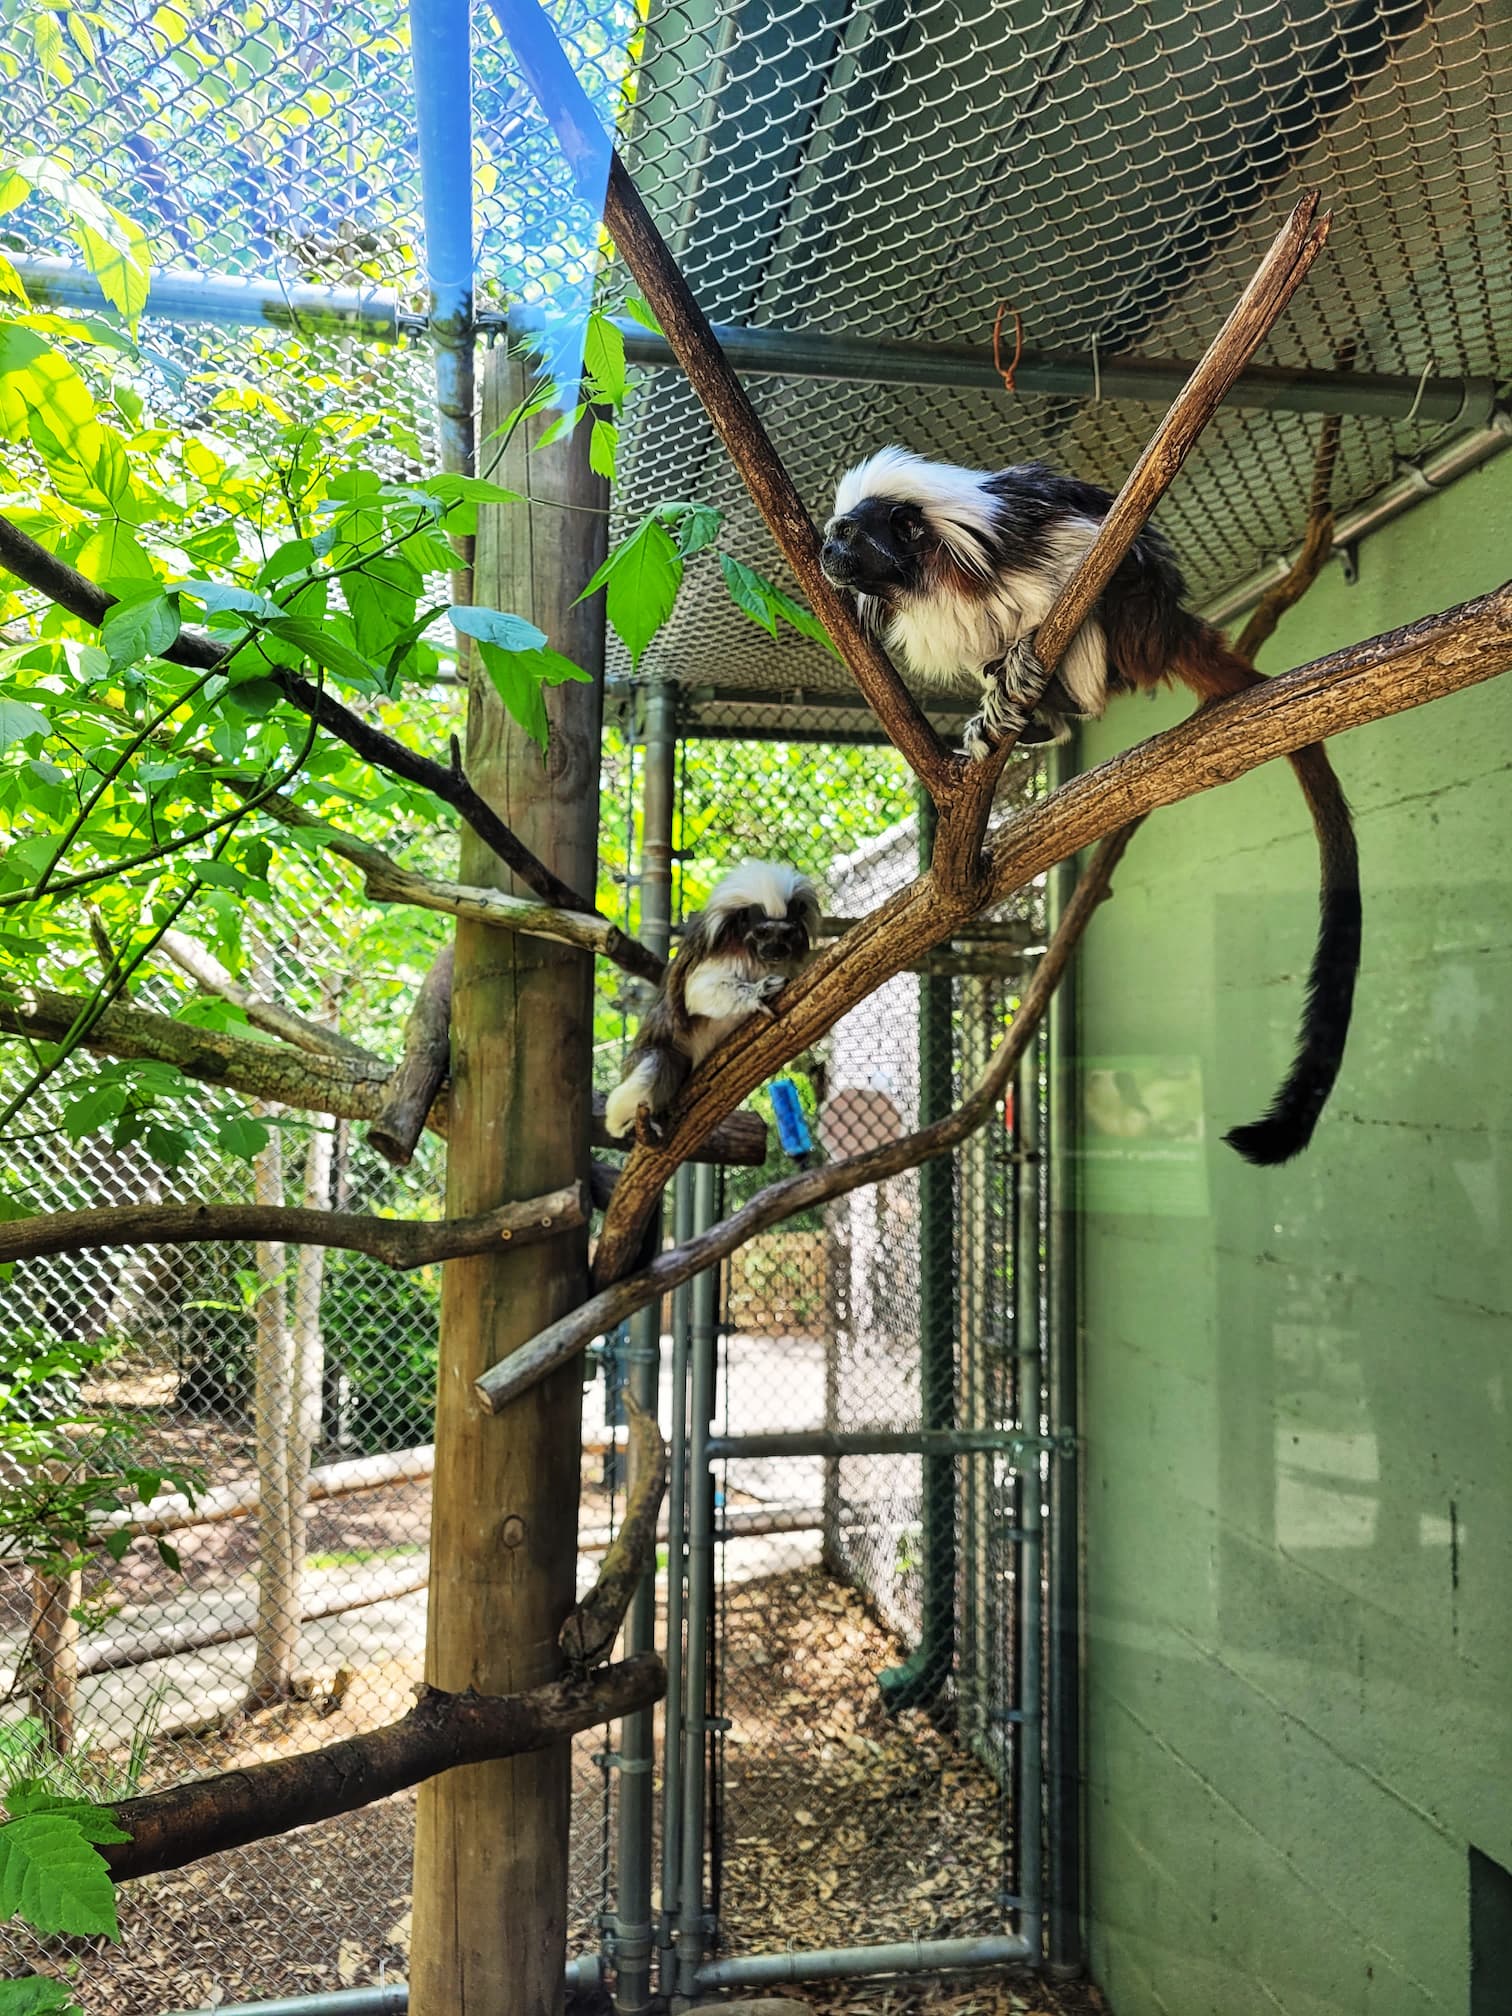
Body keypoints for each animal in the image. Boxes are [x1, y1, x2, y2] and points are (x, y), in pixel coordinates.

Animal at [603, 861, 821, 1141]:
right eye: (762, 933)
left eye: (786, 934)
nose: (775, 951)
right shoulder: (725, 950)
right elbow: (697, 992)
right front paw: (758, 992)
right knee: (657, 1062)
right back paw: (623, 1124)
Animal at [819, 446, 1360, 1168]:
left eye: (848, 535)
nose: (824, 552)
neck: (933, 572)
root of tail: (1167, 629)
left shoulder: (1037, 542)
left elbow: (1107, 554)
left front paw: (1026, 664)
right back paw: (1033, 714)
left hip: (1131, 626)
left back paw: (1047, 688)